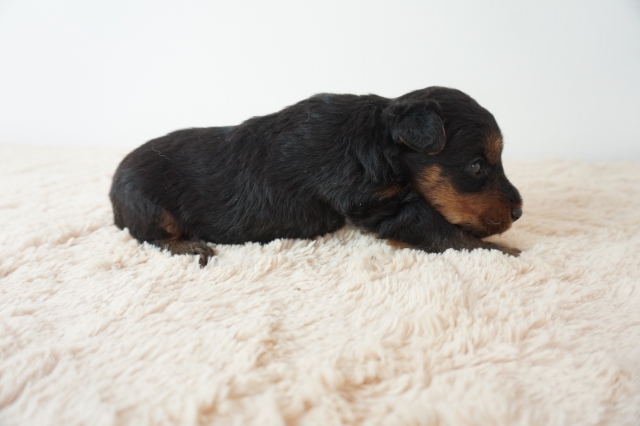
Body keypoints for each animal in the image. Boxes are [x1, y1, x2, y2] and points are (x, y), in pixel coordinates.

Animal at [110, 87, 523, 267]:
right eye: (476, 166)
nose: (519, 212)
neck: (376, 138)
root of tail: (114, 195)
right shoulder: (375, 202)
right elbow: (445, 231)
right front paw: (505, 250)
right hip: (145, 203)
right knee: (152, 237)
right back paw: (190, 246)